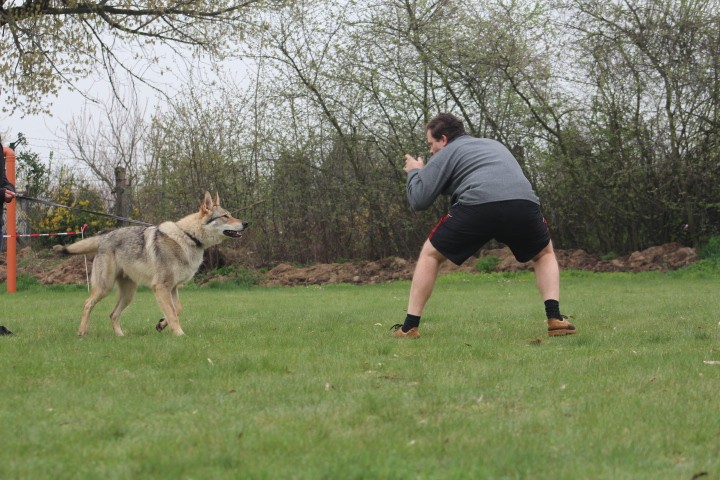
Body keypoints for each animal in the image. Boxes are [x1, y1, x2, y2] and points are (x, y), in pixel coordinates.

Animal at [53, 192, 250, 338]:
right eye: (225, 216)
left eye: (230, 214)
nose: (246, 223)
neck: (188, 236)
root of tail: (104, 236)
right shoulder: (161, 287)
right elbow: (173, 313)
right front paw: (180, 334)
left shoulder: (173, 288)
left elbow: (177, 309)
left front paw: (161, 324)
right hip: (105, 287)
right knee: (87, 303)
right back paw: (82, 332)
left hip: (128, 294)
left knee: (112, 314)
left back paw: (121, 336)